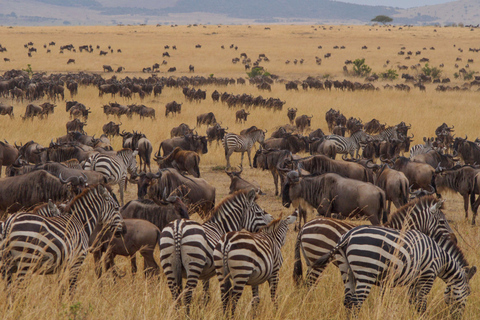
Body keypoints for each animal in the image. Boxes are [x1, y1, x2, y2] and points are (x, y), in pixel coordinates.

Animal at [314, 225, 474, 318]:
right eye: (468, 293)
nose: (458, 318)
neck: (441, 258)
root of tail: (348, 235)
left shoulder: (414, 279)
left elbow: (412, 301)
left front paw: (412, 316)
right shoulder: (428, 276)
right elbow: (421, 303)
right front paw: (422, 317)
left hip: (346, 270)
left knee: (348, 301)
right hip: (366, 272)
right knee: (356, 303)